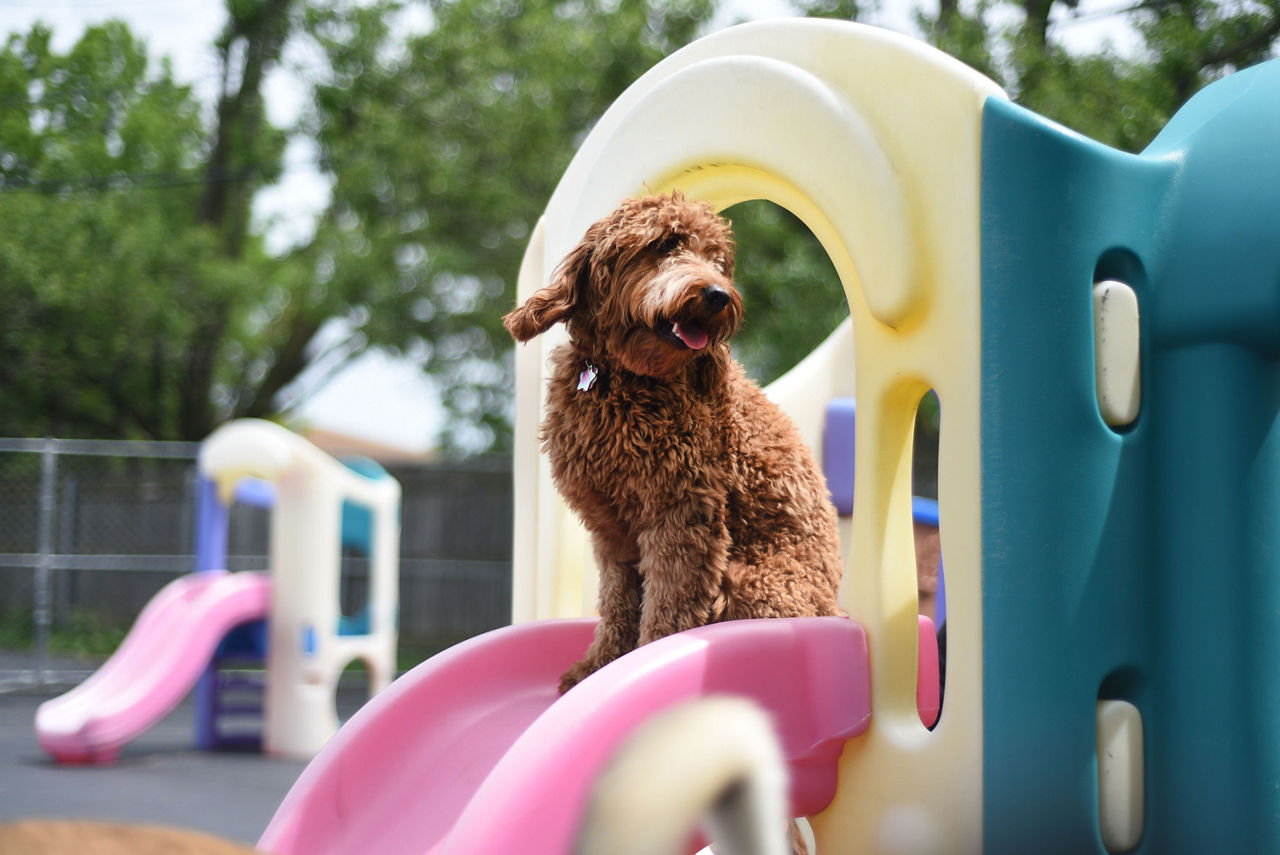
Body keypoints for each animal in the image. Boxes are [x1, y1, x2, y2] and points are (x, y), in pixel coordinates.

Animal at [504, 191, 844, 696]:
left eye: (717, 259)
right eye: (664, 244)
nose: (719, 295)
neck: (624, 377)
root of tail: (840, 611)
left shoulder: (684, 516)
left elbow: (669, 608)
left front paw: (642, 662)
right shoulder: (612, 528)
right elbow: (617, 603)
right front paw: (599, 667)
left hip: (755, 581)